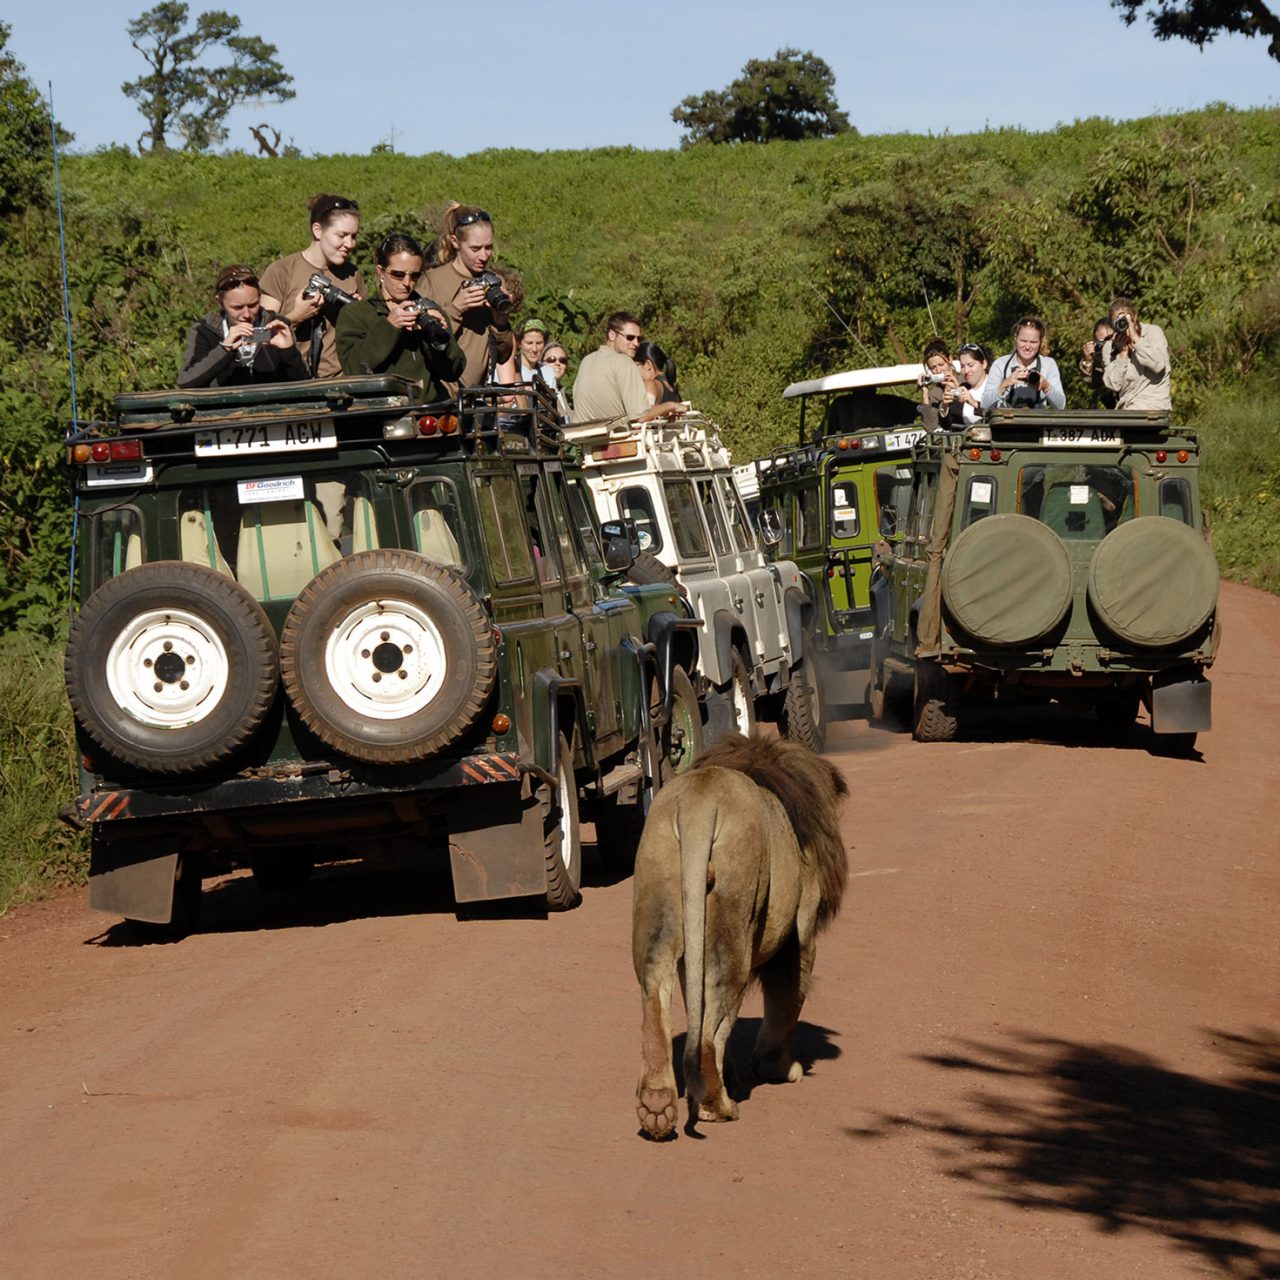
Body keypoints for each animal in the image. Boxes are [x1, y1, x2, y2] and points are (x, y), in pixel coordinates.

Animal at [632, 732, 849, 1141]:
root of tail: (698, 804)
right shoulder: (801, 933)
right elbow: (786, 1000)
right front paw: (778, 1069)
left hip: (658, 895)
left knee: (657, 1000)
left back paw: (658, 1107)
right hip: (736, 918)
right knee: (708, 1031)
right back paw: (716, 1106)